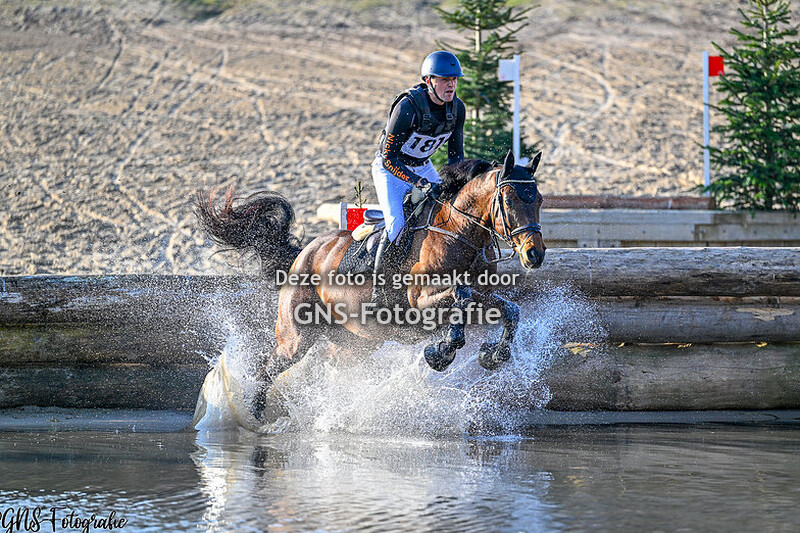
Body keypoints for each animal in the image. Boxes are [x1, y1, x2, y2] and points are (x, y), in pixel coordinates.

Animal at [196, 149, 546, 416]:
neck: (458, 233)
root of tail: (303, 253)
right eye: (508, 199)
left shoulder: (480, 298)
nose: (535, 254)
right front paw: (442, 352)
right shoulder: (421, 301)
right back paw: (253, 417)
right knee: (267, 368)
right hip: (296, 336)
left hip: (355, 343)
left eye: (540, 199)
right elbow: (461, 294)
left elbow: (508, 309)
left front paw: (492, 356)